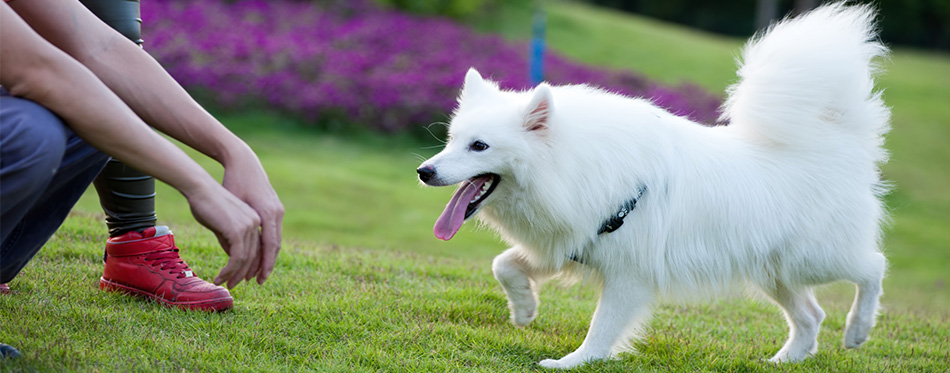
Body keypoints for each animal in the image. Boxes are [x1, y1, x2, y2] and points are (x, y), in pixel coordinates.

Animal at [416, 2, 892, 368]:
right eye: (451, 140)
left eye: (479, 146)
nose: (424, 171)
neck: (574, 164)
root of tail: (836, 142)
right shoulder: (568, 242)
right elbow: (505, 265)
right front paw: (524, 310)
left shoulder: (628, 274)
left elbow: (601, 328)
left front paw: (573, 362)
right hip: (775, 271)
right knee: (811, 314)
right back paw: (785, 360)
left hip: (816, 258)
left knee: (873, 267)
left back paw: (858, 331)